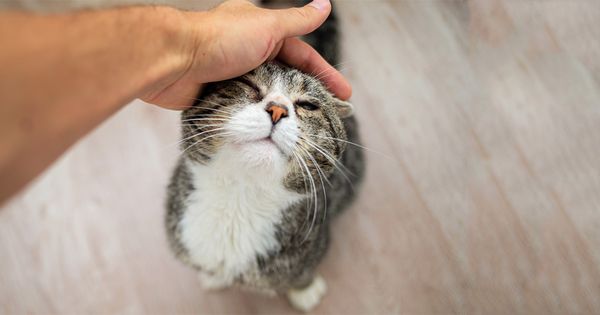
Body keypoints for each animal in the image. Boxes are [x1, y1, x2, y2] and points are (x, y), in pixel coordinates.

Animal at [164, 0, 364, 312]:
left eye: (308, 105)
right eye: (249, 85)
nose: (278, 110)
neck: (240, 199)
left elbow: (302, 273)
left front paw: (304, 290)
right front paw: (213, 276)